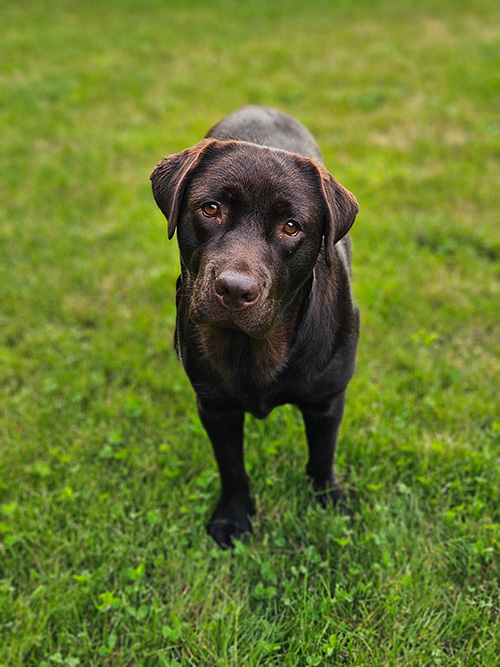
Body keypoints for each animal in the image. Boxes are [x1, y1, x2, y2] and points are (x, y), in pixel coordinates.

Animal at [149, 105, 360, 548]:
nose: (234, 289)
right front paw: (232, 518)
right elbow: (232, 467)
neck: (255, 346)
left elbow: (322, 456)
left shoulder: (327, 398)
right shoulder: (215, 406)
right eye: (211, 209)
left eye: (291, 226)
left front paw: (328, 502)